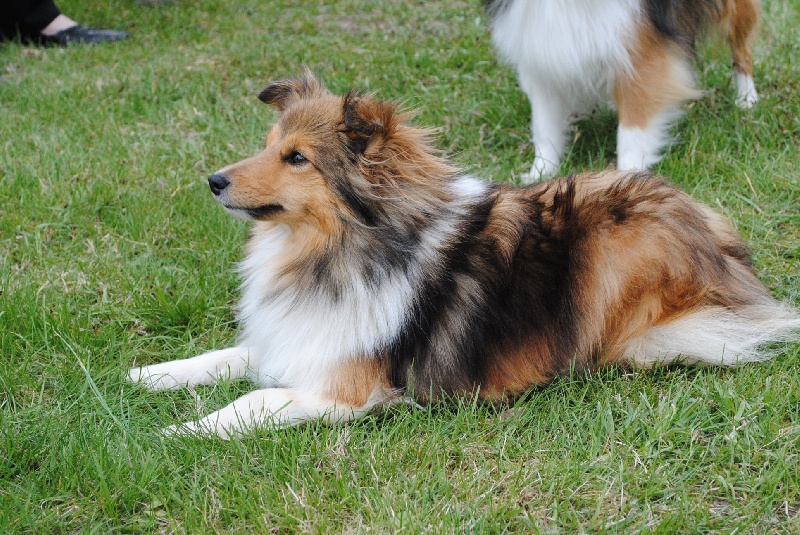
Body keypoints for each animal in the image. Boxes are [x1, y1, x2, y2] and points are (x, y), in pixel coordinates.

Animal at [128, 75, 796, 438]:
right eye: (268, 145)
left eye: (297, 158)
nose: (213, 181)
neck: (340, 247)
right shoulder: (299, 338)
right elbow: (225, 358)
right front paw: (147, 376)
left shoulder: (345, 389)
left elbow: (252, 400)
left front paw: (179, 430)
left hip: (611, 250)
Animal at [482, 0, 764, 182]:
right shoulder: (540, 54)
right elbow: (544, 127)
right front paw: (541, 173)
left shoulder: (640, 54)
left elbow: (631, 133)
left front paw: (628, 180)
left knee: (742, 50)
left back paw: (746, 99)